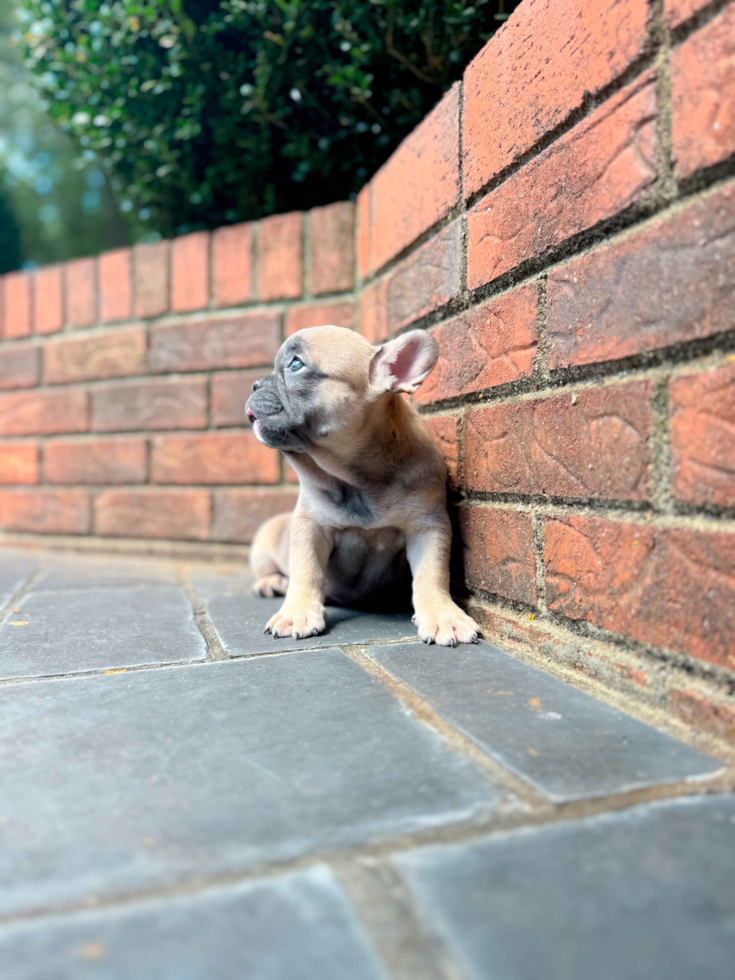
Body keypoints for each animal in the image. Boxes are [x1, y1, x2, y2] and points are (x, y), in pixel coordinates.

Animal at [244, 326, 480, 648]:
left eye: (295, 365)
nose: (254, 385)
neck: (358, 480)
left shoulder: (428, 527)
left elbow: (432, 574)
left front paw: (443, 615)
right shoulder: (310, 526)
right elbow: (306, 569)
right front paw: (297, 613)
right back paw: (272, 583)